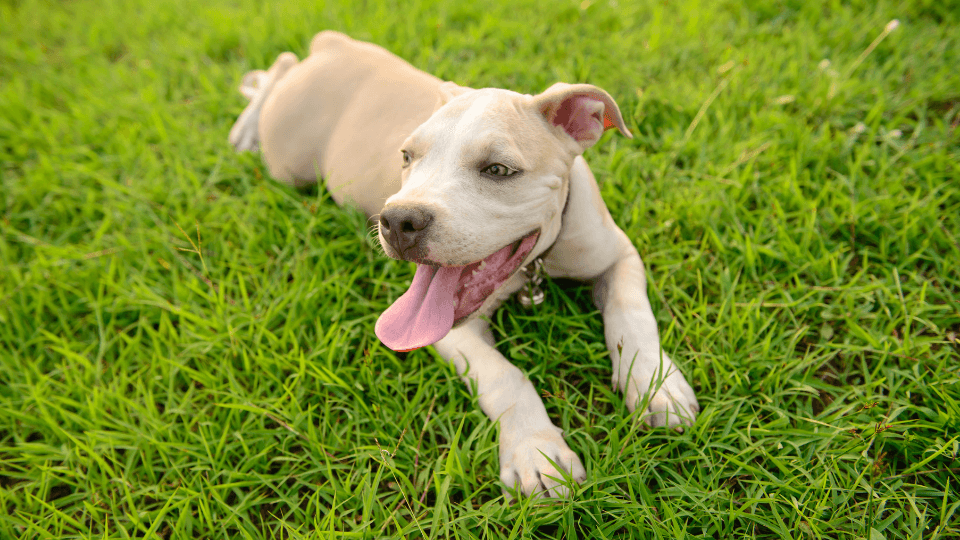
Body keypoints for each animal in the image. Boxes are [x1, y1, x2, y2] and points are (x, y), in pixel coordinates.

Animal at [232, 30, 696, 498]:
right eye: (406, 157)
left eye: (498, 170)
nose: (398, 221)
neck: (535, 264)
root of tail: (335, 44)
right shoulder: (451, 333)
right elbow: (504, 376)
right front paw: (537, 452)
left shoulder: (619, 254)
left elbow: (632, 315)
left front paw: (656, 386)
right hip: (288, 160)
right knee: (280, 67)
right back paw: (244, 129)